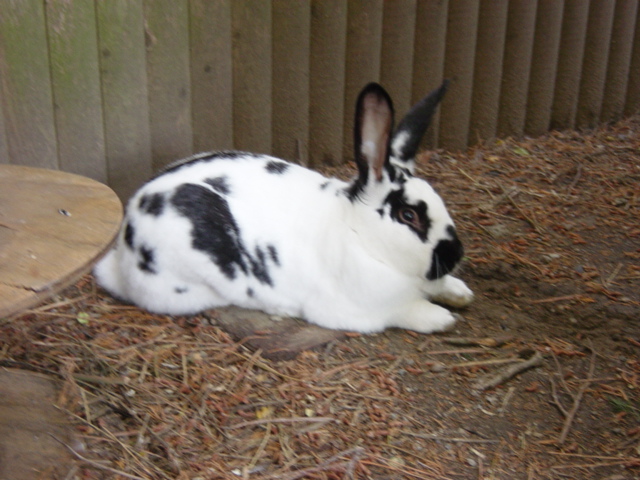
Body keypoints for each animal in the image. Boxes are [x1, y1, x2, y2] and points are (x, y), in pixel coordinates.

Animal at [94, 80, 473, 334]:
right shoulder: (365, 309)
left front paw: (461, 294)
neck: (357, 234)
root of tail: (120, 257)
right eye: (408, 215)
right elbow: (409, 311)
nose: (455, 253)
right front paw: (442, 318)